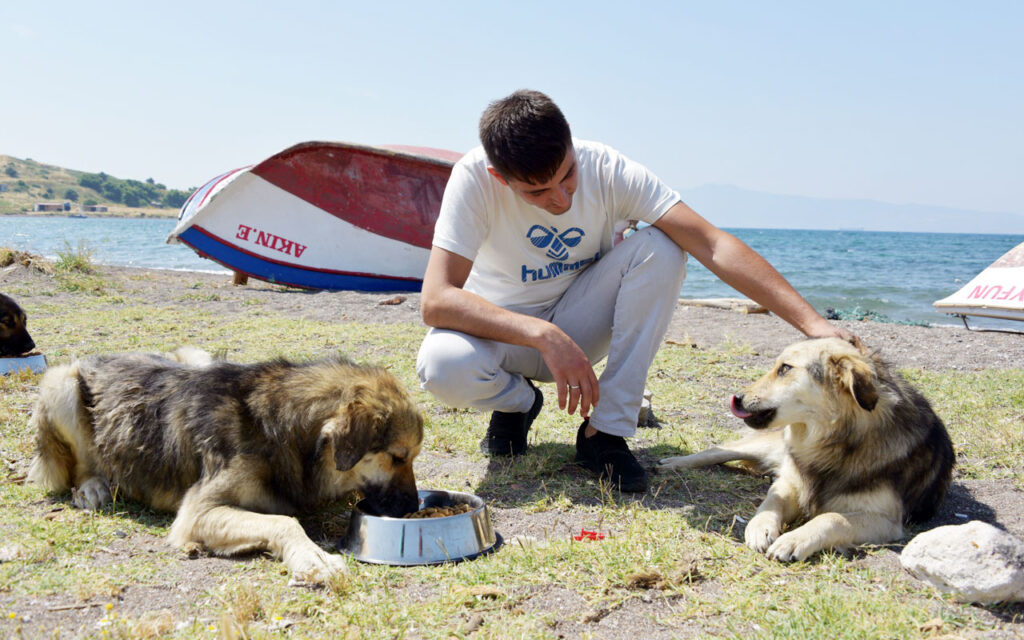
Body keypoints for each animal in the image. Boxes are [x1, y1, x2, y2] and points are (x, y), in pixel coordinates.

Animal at [28, 350, 421, 585]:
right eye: (398, 456)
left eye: (411, 458)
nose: (414, 508)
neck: (276, 425)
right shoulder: (196, 514)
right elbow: (284, 521)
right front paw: (313, 557)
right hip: (60, 383)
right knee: (80, 466)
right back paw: (92, 487)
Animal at [659, 337, 954, 561]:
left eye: (785, 368)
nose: (738, 398)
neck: (835, 442)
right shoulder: (791, 480)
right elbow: (773, 498)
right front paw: (760, 526)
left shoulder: (887, 520)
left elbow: (832, 517)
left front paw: (793, 540)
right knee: (720, 450)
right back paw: (672, 462)